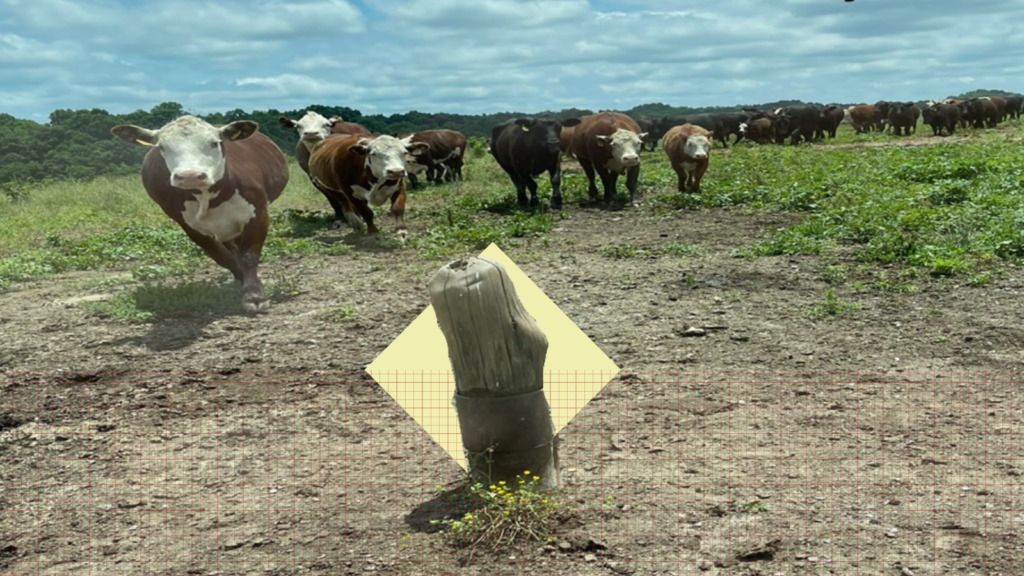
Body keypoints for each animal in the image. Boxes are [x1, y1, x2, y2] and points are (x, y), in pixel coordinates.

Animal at [111, 115, 288, 314]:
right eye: (162, 147)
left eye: (214, 143)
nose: (190, 175)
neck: (209, 196)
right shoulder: (189, 226)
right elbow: (222, 257)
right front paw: (243, 281)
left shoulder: (258, 213)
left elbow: (249, 256)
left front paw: (254, 295)